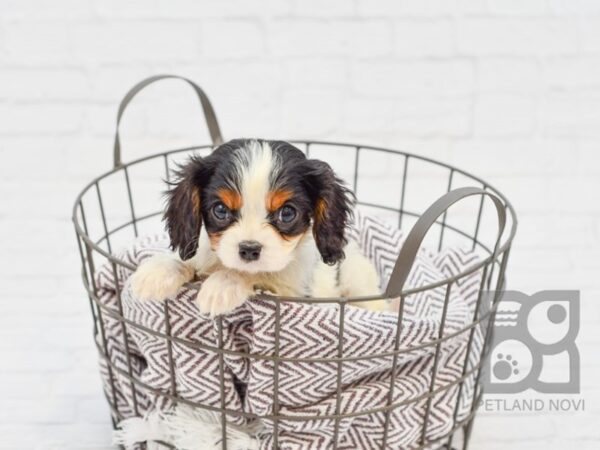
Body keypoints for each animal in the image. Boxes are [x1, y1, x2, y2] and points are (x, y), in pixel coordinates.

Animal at [131, 138, 380, 316]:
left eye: (287, 213)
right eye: (220, 210)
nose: (249, 249)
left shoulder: (293, 292)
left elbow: (260, 276)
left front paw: (224, 284)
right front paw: (157, 272)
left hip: (360, 281)